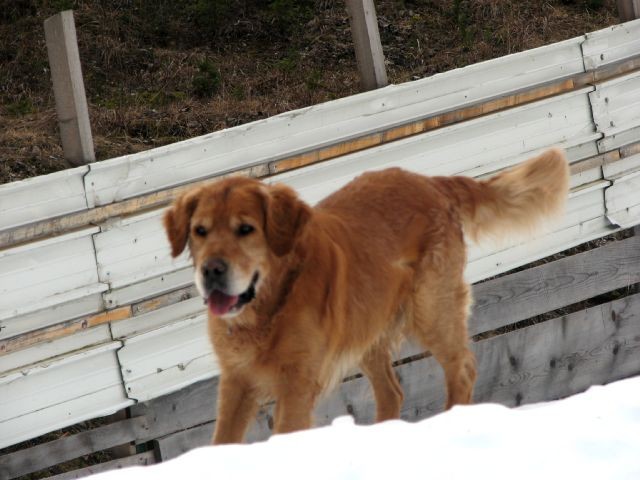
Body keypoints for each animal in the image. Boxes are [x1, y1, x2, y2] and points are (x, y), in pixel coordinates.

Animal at [162, 148, 568, 444]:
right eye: (200, 231)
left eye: (246, 229)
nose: (211, 271)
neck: (268, 306)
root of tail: (430, 181)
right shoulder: (236, 381)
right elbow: (221, 440)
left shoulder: (297, 383)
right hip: (367, 325)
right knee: (392, 393)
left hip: (431, 310)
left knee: (463, 369)